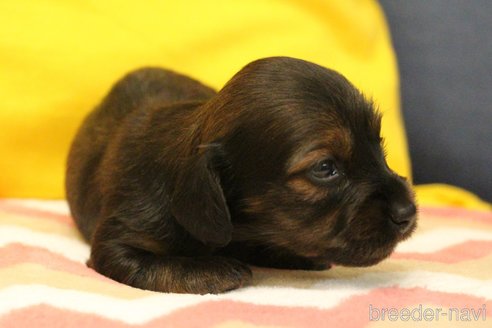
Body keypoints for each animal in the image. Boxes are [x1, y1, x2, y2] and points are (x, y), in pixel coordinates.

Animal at [67, 57, 418, 294]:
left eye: (379, 145)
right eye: (324, 168)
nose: (408, 212)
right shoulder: (118, 241)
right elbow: (154, 264)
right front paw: (214, 270)